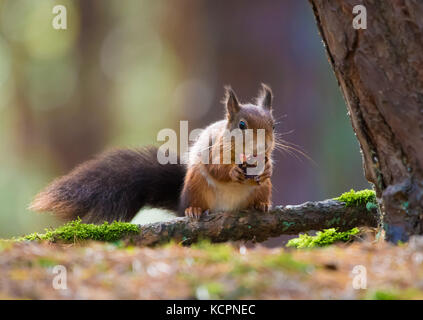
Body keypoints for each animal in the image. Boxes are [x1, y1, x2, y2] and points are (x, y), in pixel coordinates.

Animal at [29, 84, 274, 221]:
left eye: (273, 125)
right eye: (242, 125)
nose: (263, 146)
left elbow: (267, 166)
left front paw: (267, 168)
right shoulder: (213, 148)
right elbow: (216, 167)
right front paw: (232, 172)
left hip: (263, 189)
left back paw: (261, 205)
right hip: (196, 184)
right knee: (196, 199)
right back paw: (193, 210)